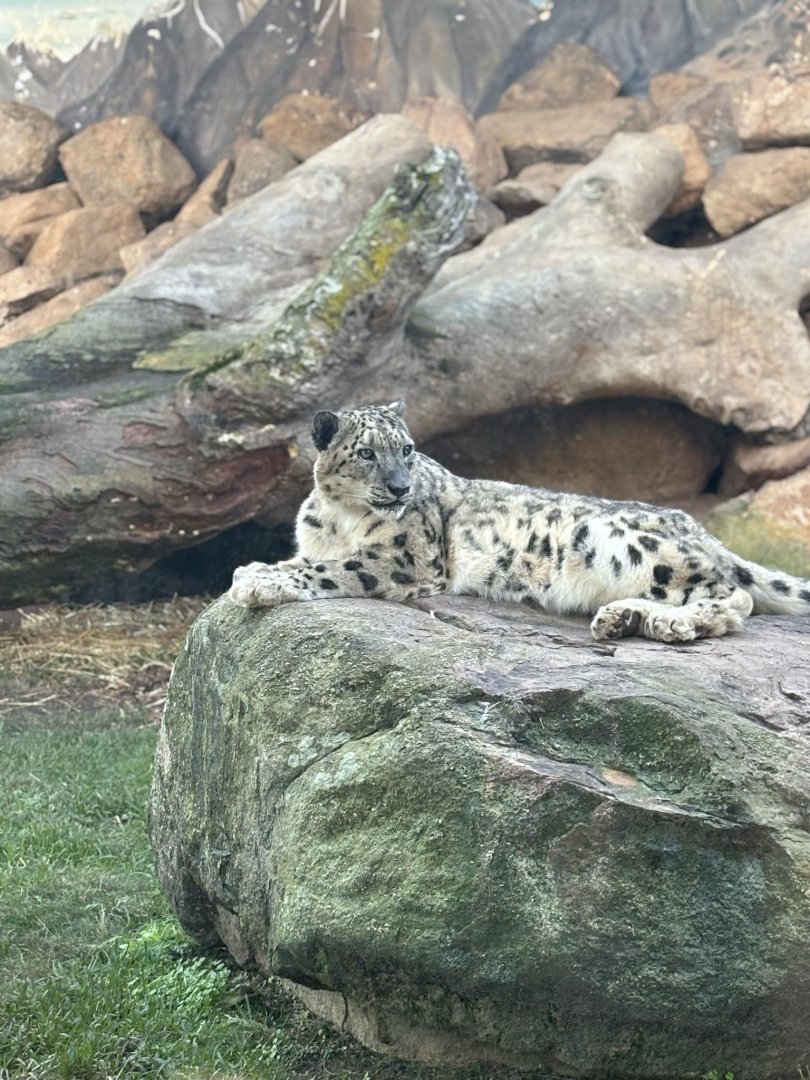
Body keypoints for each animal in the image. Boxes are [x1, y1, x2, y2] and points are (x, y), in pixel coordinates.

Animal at [229, 401, 810, 643]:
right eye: (368, 453)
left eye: (408, 449)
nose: (399, 488)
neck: (341, 518)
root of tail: (700, 529)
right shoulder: (319, 543)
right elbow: (305, 560)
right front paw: (254, 570)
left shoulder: (402, 557)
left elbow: (330, 570)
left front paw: (257, 581)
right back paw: (623, 618)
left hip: (634, 548)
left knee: (734, 595)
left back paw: (669, 623)